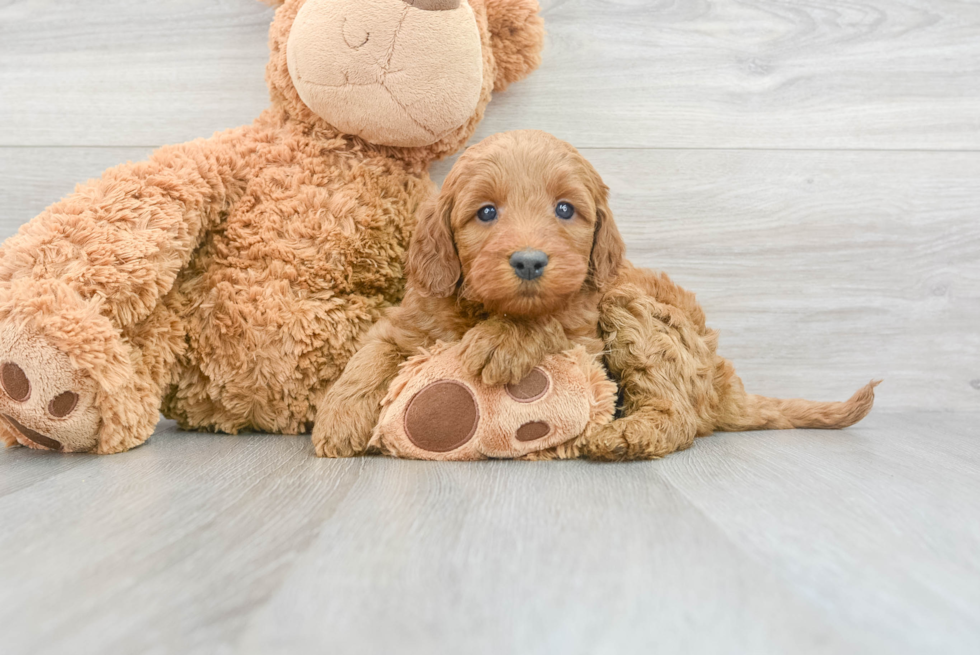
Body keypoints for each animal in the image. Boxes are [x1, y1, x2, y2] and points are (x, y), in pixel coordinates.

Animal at [310, 131, 876, 462]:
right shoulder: (410, 319)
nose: (530, 261)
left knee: (677, 417)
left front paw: (503, 340)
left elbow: (550, 321)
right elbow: (369, 357)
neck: (487, 306)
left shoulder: (586, 327)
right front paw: (338, 418)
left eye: (565, 209)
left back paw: (622, 437)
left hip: (635, 313)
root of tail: (724, 388)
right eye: (486, 212)